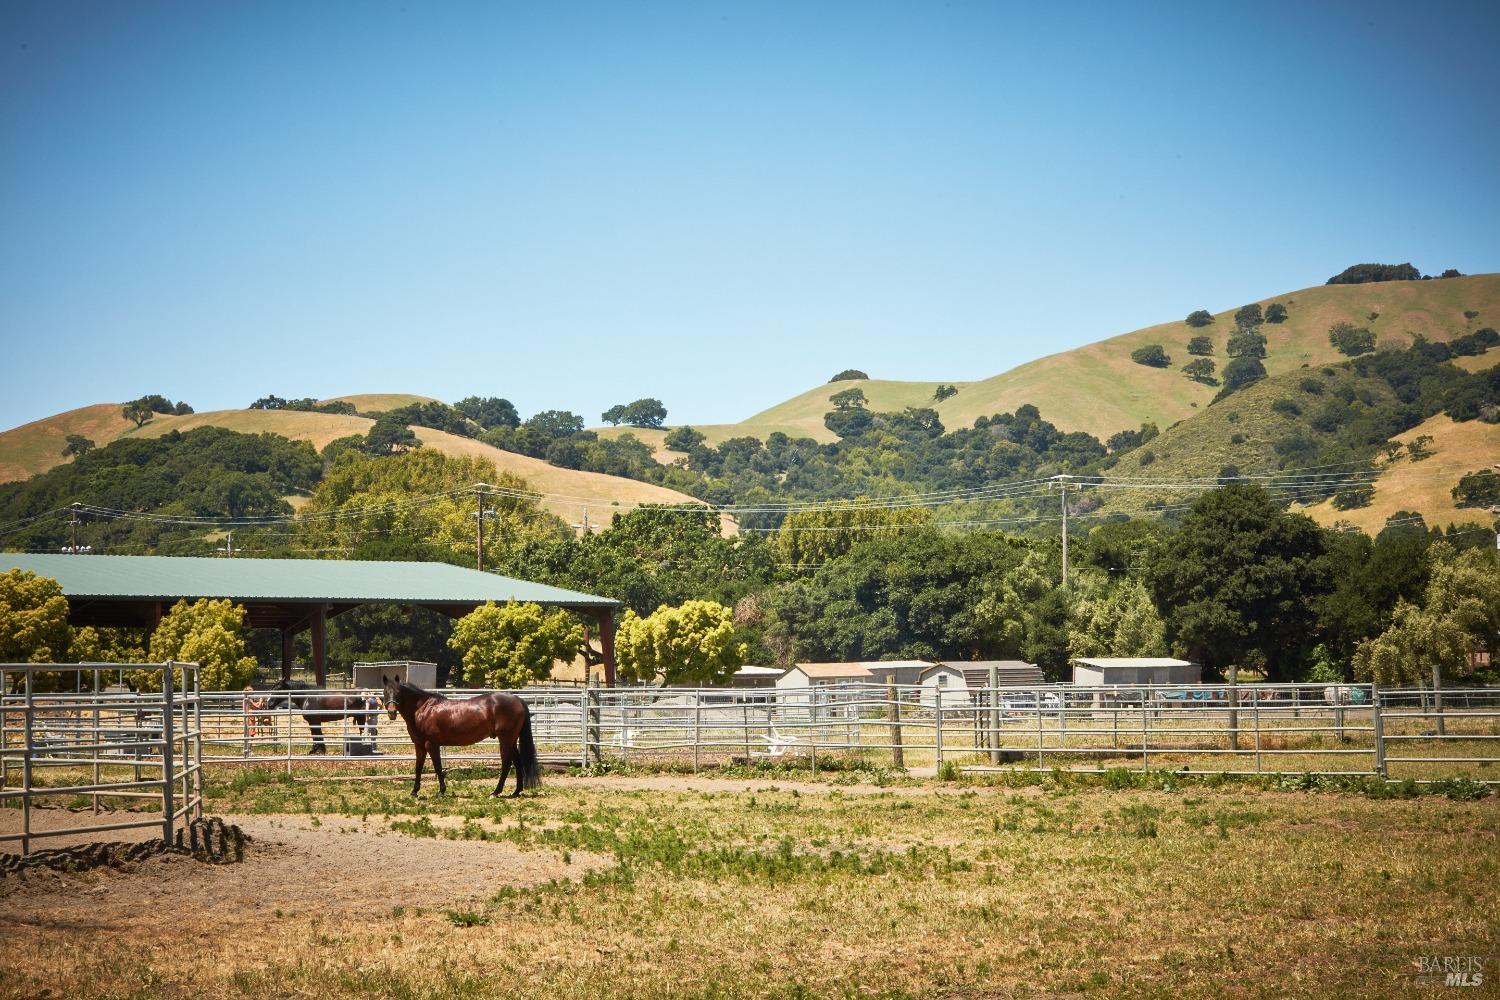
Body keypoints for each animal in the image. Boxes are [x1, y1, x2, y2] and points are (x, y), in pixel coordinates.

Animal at [381, 677, 540, 803]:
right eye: (385, 692)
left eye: (398, 692)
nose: (391, 712)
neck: (423, 709)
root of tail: (518, 700)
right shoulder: (419, 745)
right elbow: (418, 767)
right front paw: (414, 792)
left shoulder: (431, 744)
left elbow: (438, 767)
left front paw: (441, 791)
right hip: (512, 740)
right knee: (517, 762)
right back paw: (516, 791)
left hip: (505, 740)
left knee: (506, 763)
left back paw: (496, 792)